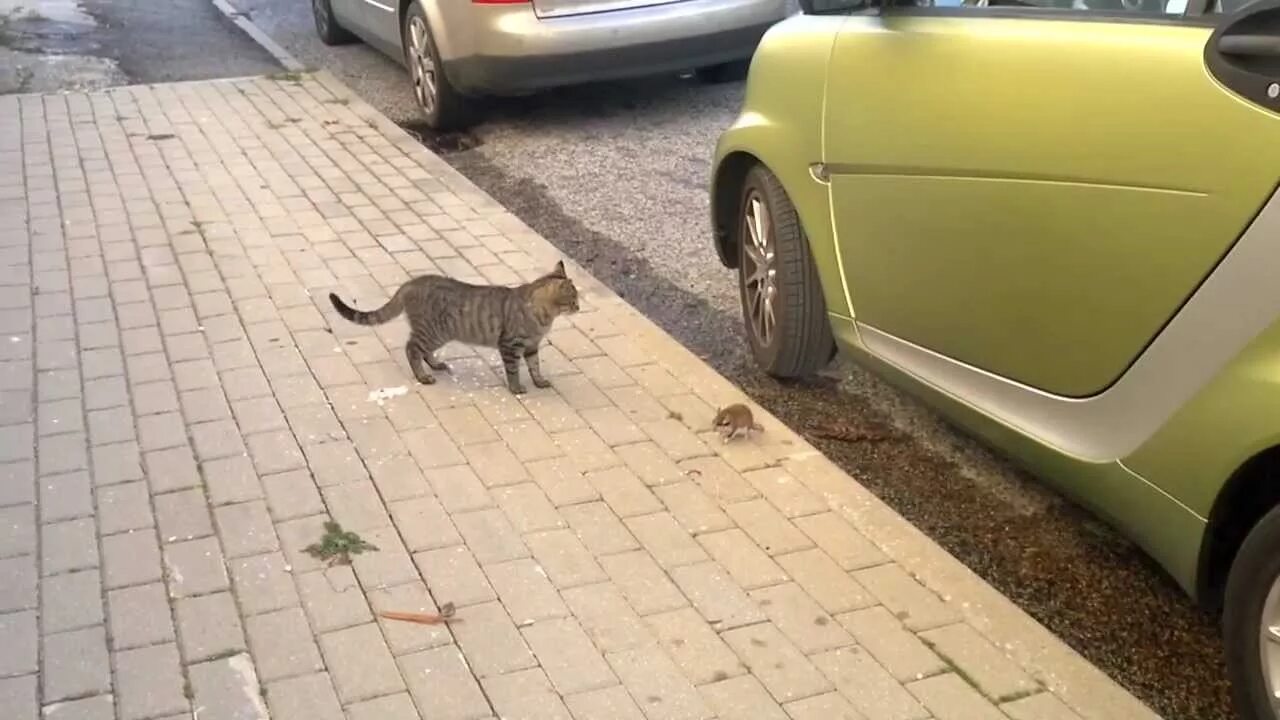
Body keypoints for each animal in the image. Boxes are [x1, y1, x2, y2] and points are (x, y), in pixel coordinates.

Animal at [335, 257, 586, 392]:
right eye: (573, 299)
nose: (579, 308)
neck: (543, 317)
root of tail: (410, 283)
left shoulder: (532, 346)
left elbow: (535, 366)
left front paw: (539, 381)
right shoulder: (509, 345)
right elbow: (513, 370)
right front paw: (516, 388)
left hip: (438, 334)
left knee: (422, 351)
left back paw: (435, 365)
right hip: (432, 332)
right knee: (411, 348)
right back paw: (423, 376)